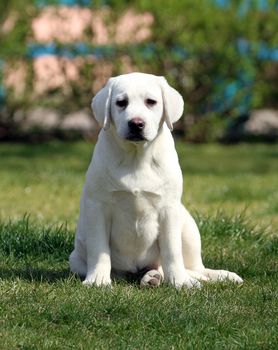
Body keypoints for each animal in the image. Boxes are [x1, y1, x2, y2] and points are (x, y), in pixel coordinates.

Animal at [70, 72, 243, 288]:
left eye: (151, 102)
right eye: (121, 103)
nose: (136, 123)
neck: (136, 157)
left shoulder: (168, 209)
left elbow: (172, 251)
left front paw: (180, 282)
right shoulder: (98, 207)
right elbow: (99, 249)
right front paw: (98, 280)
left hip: (188, 227)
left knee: (194, 268)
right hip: (75, 259)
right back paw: (150, 277)